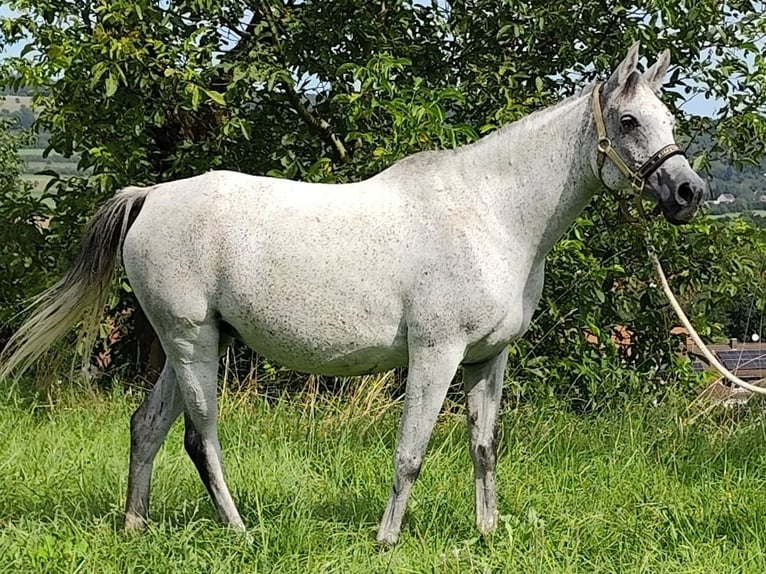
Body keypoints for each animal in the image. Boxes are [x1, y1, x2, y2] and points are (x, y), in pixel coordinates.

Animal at [1, 42, 708, 548]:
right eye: (628, 121)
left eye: (669, 119)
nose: (688, 192)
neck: (490, 213)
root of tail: (150, 196)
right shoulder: (436, 355)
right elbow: (411, 452)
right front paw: (386, 540)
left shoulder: (488, 358)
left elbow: (483, 448)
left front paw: (486, 533)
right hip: (192, 343)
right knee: (202, 441)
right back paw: (241, 532)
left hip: (191, 347)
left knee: (146, 427)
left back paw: (135, 527)